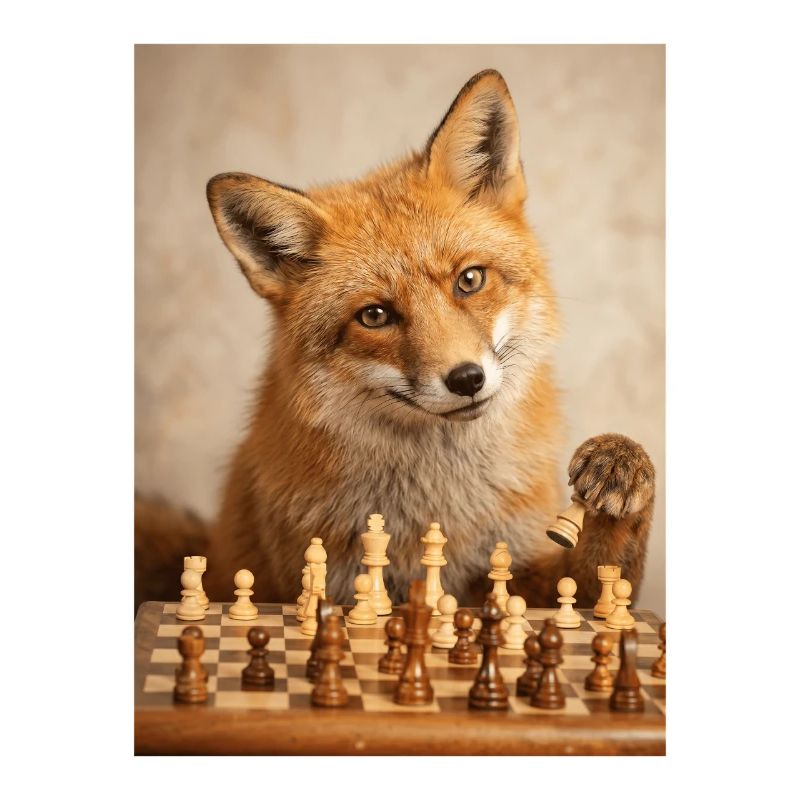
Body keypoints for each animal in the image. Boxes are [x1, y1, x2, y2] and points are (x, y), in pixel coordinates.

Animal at [135, 69, 655, 610]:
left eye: (469, 280)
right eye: (375, 315)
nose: (466, 379)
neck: (437, 504)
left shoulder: (517, 572)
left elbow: (603, 581)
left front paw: (620, 465)